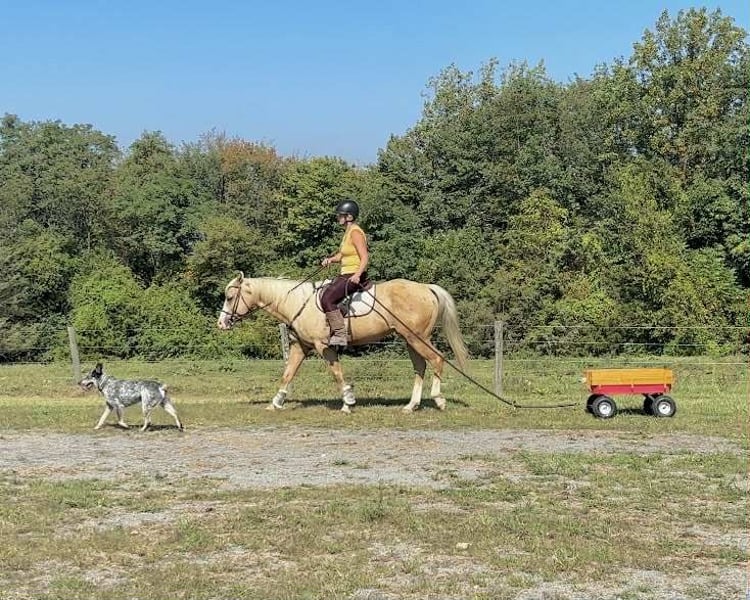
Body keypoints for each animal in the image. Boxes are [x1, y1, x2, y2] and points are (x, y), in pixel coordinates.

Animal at [217, 273, 469, 413]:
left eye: (230, 297)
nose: (221, 323)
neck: (297, 302)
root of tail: (426, 288)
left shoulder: (323, 347)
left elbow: (337, 373)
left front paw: (348, 401)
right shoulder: (301, 347)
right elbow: (288, 374)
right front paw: (276, 402)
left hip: (417, 338)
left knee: (437, 360)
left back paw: (438, 399)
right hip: (409, 339)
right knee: (420, 367)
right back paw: (411, 405)